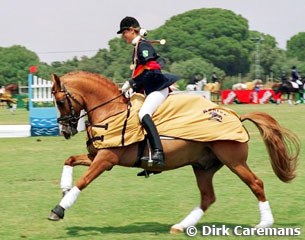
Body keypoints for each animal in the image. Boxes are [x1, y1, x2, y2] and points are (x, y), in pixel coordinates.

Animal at [48, 71, 298, 232]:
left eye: (60, 101)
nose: (65, 130)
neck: (111, 111)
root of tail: (236, 116)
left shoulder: (106, 159)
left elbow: (83, 182)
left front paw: (59, 209)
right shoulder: (96, 156)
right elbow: (69, 160)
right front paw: (64, 187)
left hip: (233, 161)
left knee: (256, 183)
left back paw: (264, 224)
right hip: (203, 166)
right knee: (208, 197)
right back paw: (181, 226)